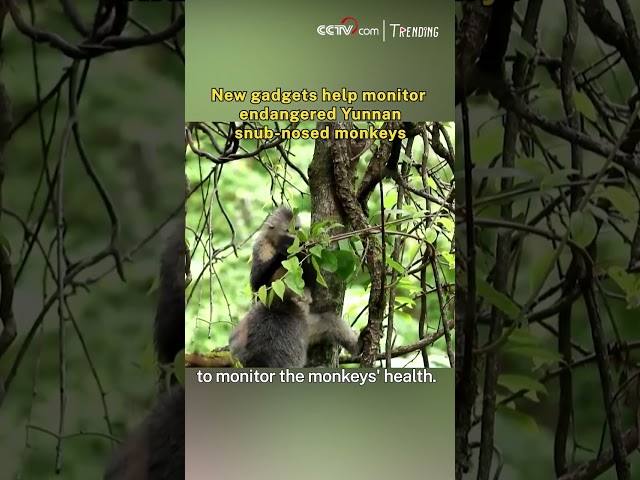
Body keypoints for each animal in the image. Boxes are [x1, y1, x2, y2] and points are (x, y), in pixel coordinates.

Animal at [247, 206, 360, 358]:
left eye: (297, 229)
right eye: (289, 230)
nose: (296, 238)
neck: (273, 243)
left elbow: (312, 280)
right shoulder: (260, 247)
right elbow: (257, 286)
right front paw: (283, 252)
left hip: (309, 328)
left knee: (330, 322)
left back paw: (358, 345)